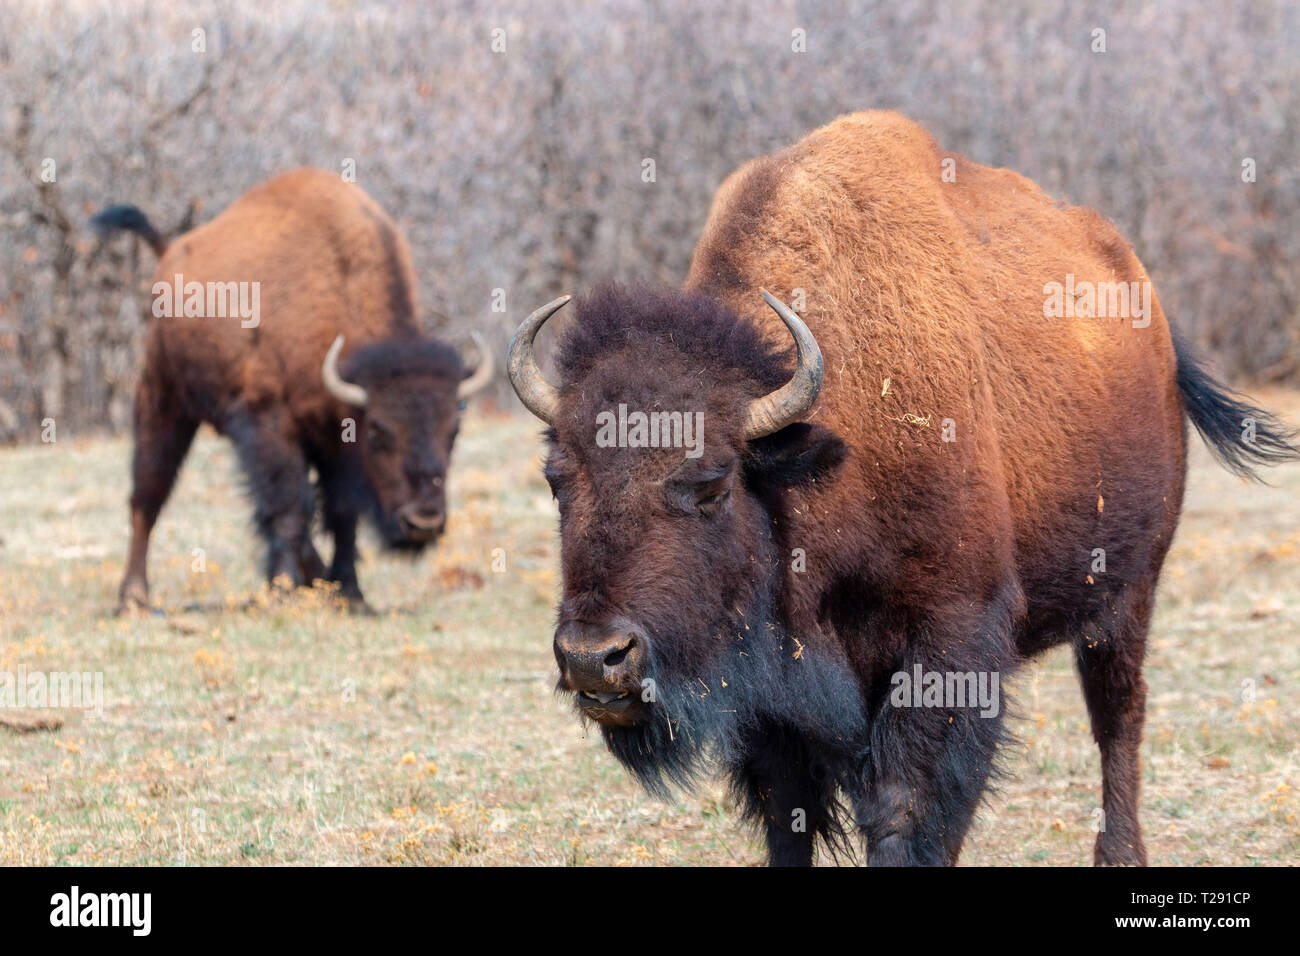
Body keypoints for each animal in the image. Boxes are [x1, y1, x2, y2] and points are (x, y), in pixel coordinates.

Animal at [92, 168, 491, 613]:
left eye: (453, 431)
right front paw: (283, 589)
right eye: (378, 431)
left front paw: (350, 593)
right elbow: (287, 508)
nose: (423, 521)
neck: (337, 290)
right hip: (163, 398)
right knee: (148, 493)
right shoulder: (272, 424)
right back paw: (134, 597)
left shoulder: (335, 440)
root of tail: (171, 251)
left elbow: (341, 513)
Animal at [508, 112, 1299, 865]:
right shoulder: (772, 692)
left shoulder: (948, 643)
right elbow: (788, 815)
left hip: (1128, 591)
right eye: (556, 479)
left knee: (1118, 719)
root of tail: (1153, 317)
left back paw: (1122, 854)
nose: (594, 657)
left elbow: (908, 811)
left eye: (710, 483)